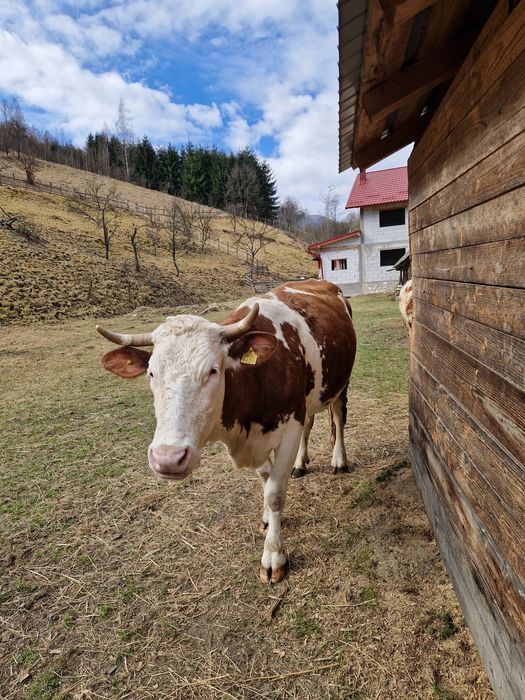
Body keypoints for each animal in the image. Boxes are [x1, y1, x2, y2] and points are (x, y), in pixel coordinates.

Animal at [96, 279, 356, 583]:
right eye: (151, 373)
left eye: (212, 370)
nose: (168, 458)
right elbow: (266, 479)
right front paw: (267, 518)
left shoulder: (290, 427)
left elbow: (274, 493)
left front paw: (273, 556)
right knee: (311, 424)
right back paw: (301, 464)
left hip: (341, 384)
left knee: (338, 417)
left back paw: (338, 460)